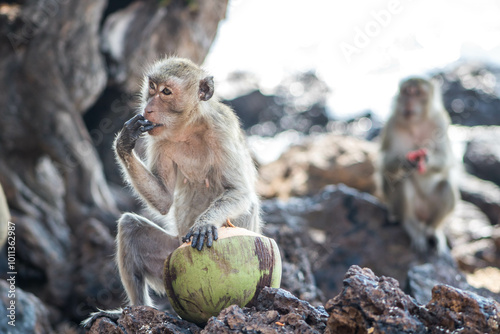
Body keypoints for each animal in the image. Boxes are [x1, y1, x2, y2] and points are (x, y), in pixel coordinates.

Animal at [378, 77, 458, 254]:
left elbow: (446, 158)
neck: (416, 123)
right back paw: (412, 228)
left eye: (417, 93)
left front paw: (426, 159)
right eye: (407, 91)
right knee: (403, 183)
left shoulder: (440, 122)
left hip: (429, 209)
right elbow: (385, 165)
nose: (409, 100)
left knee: (446, 185)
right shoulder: (391, 124)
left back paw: (434, 231)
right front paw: (405, 162)